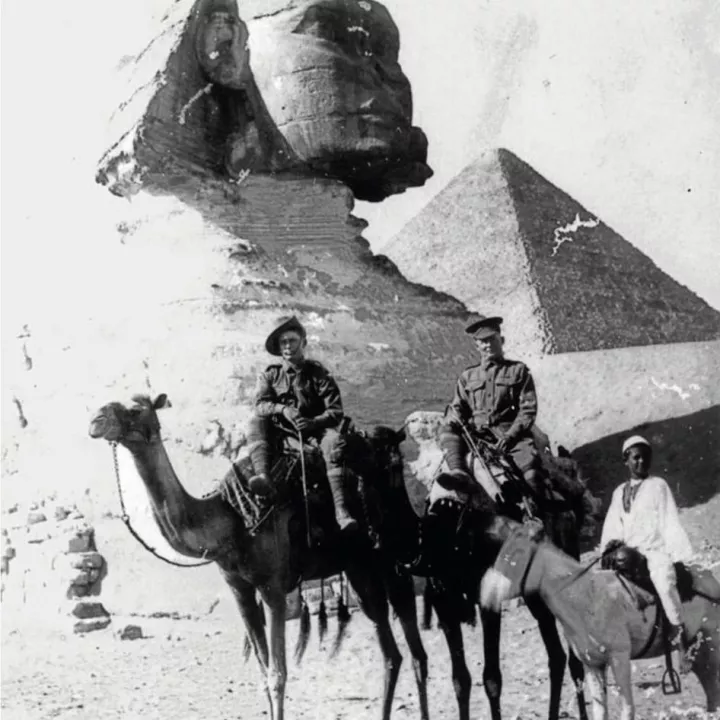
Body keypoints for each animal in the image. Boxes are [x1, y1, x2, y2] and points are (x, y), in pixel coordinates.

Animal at [87, 394, 430, 720]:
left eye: (134, 409)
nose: (95, 420)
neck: (232, 518)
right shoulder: (239, 588)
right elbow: (263, 672)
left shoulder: (273, 588)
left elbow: (277, 675)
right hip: (359, 567)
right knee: (392, 653)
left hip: (391, 560)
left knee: (415, 651)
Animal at [478, 520, 720, 720]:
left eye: (517, 553)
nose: (486, 595)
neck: (587, 599)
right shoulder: (592, 664)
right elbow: (599, 710)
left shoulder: (619, 658)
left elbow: (627, 709)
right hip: (699, 652)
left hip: (712, 646)